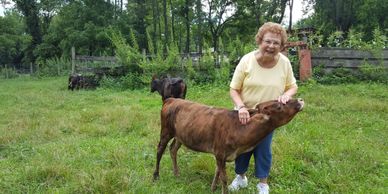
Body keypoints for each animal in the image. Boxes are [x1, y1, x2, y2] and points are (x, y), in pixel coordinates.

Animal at [153, 98, 304, 194]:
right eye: (279, 106)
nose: (300, 99)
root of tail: (172, 99)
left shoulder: (220, 155)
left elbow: (218, 172)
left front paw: (213, 188)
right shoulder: (220, 152)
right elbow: (224, 177)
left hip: (180, 136)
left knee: (173, 149)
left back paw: (176, 173)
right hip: (166, 131)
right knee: (160, 150)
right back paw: (156, 176)